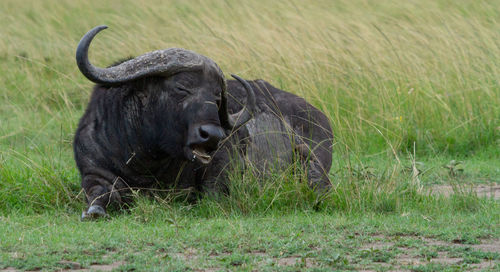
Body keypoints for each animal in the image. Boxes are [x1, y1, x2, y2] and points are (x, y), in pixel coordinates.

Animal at [73, 25, 332, 220]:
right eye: (181, 88)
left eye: (216, 97)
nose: (213, 135)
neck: (148, 161)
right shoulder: (93, 171)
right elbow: (100, 195)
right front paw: (94, 211)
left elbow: (212, 193)